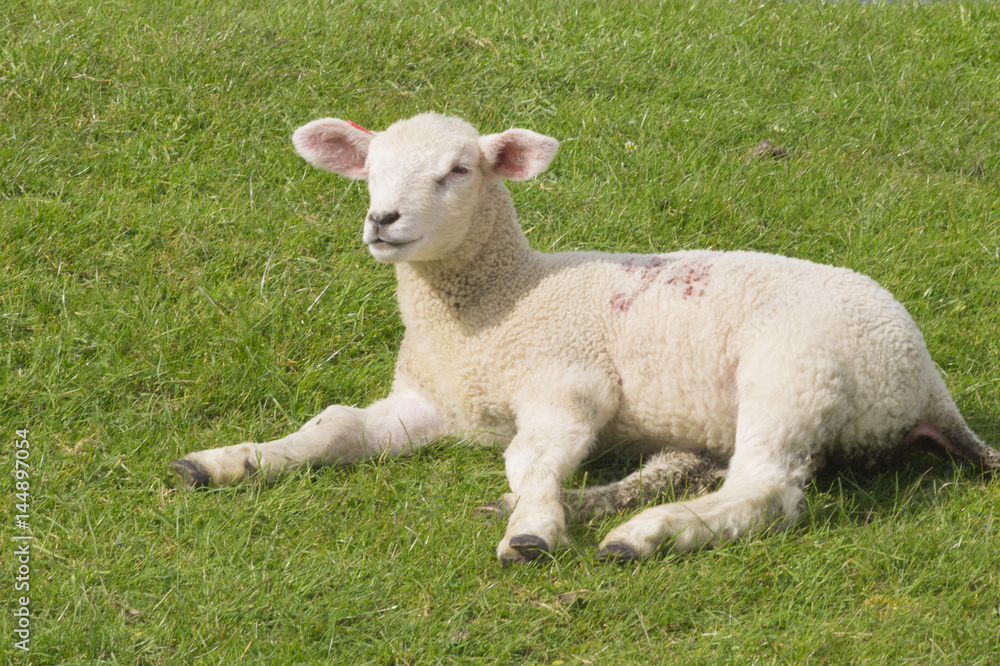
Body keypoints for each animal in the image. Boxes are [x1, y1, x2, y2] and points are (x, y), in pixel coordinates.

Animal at [168, 113, 996, 560]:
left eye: (459, 169)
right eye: (367, 170)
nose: (383, 221)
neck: (498, 305)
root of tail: (930, 382)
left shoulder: (568, 383)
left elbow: (531, 456)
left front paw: (533, 531)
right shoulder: (434, 402)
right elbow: (334, 427)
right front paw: (231, 460)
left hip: (799, 373)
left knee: (764, 491)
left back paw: (644, 534)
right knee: (679, 468)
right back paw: (597, 505)